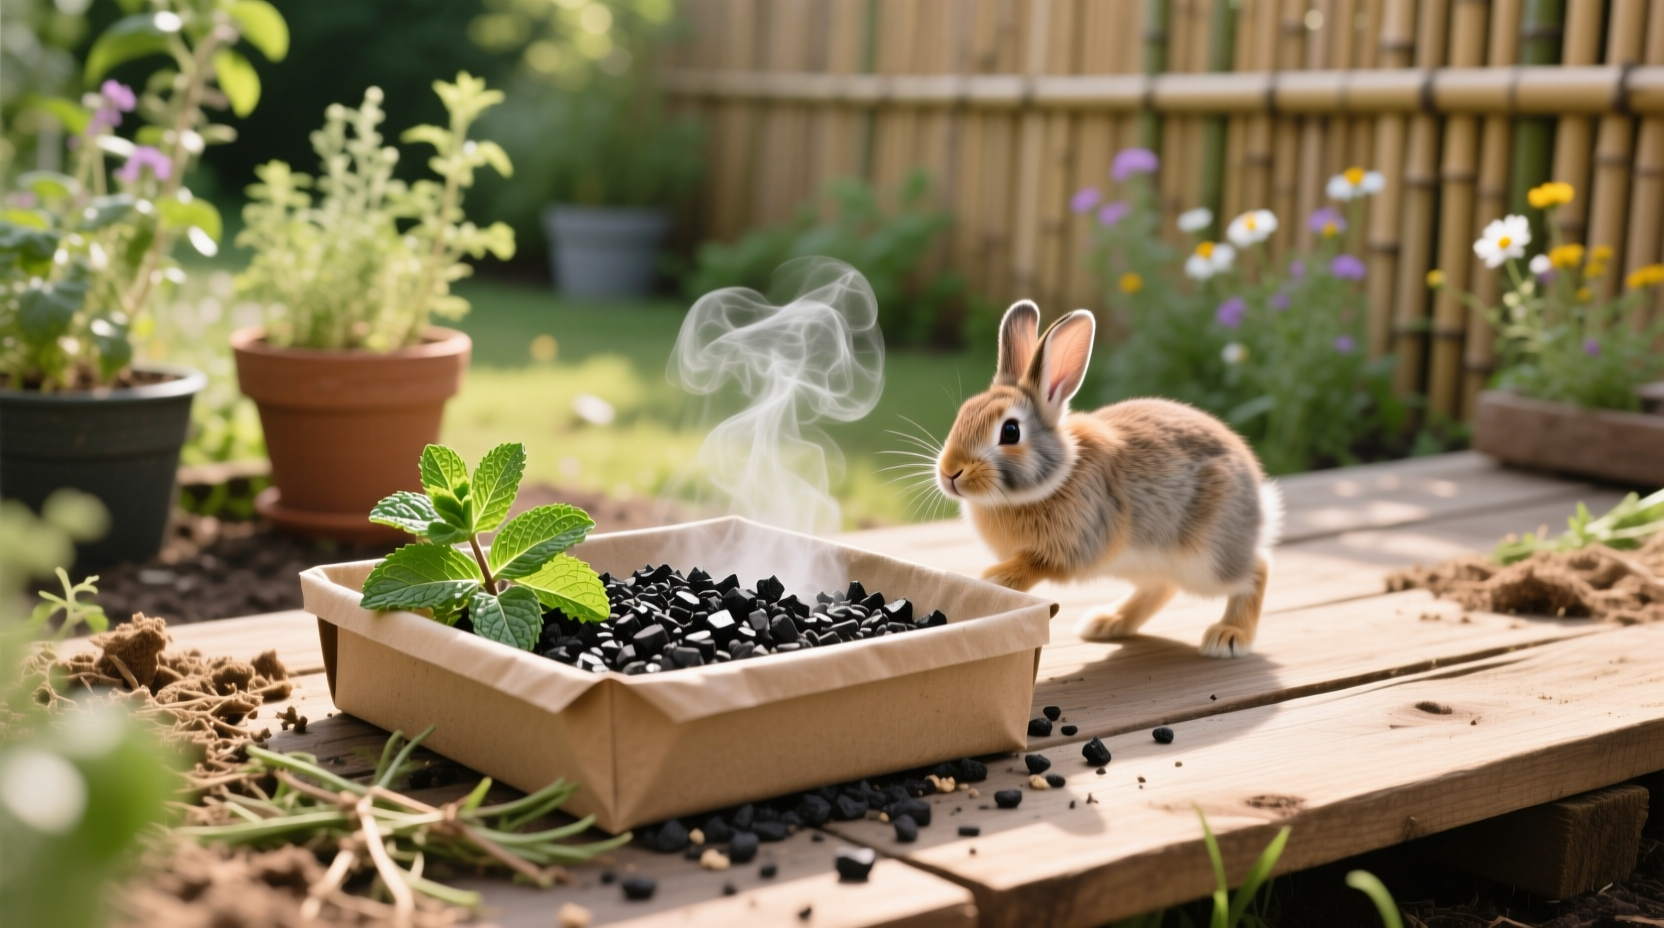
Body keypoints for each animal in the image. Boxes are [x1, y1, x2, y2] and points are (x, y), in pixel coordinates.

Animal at [934, 300, 1282, 658]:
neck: (1057, 477)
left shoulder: (1077, 541)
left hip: (1208, 560)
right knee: (1162, 587)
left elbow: (1035, 563)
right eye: (964, 412)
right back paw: (1107, 621)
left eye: (1010, 431)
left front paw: (993, 578)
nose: (949, 472)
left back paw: (1229, 636)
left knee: (1258, 569)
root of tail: (1259, 501)